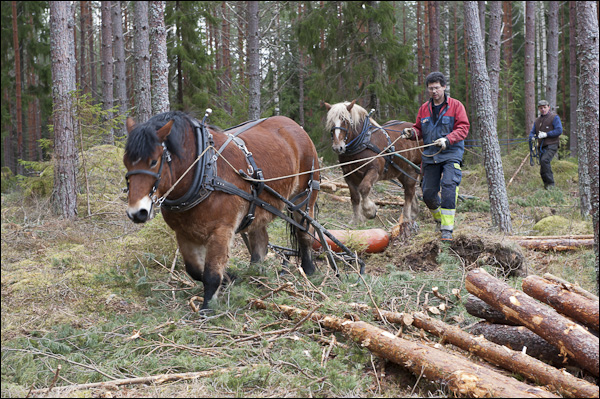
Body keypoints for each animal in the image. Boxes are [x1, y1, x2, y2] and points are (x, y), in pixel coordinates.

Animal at [124, 111, 322, 310]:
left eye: (153, 161)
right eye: (126, 162)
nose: (137, 212)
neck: (204, 172)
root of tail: (294, 125)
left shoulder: (221, 230)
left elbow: (211, 274)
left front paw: (207, 308)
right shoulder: (183, 233)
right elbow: (195, 270)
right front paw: (229, 279)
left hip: (304, 198)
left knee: (304, 234)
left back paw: (309, 270)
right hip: (258, 207)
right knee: (260, 241)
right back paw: (255, 274)